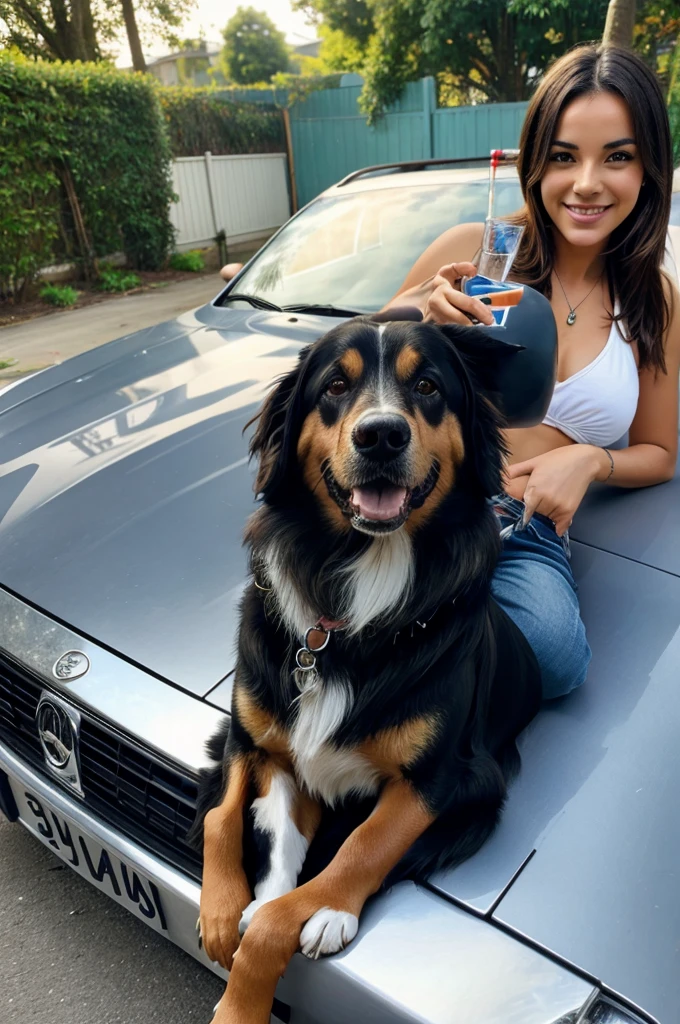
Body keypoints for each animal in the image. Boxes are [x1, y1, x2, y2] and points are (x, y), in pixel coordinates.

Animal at [192, 313, 540, 1024]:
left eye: (428, 385)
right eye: (334, 386)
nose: (381, 434)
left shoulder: (444, 778)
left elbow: (361, 849)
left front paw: (308, 923)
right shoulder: (270, 746)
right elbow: (237, 822)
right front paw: (230, 911)